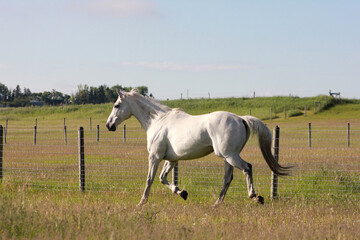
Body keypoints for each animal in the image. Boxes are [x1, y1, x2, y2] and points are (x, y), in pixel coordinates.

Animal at [105, 89, 292, 205]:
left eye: (116, 105)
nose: (109, 125)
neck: (158, 121)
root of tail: (240, 119)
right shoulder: (172, 160)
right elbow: (163, 178)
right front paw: (182, 192)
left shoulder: (155, 156)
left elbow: (150, 179)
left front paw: (141, 203)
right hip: (228, 157)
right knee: (227, 179)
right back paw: (216, 204)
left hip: (230, 156)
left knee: (247, 168)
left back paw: (255, 197)